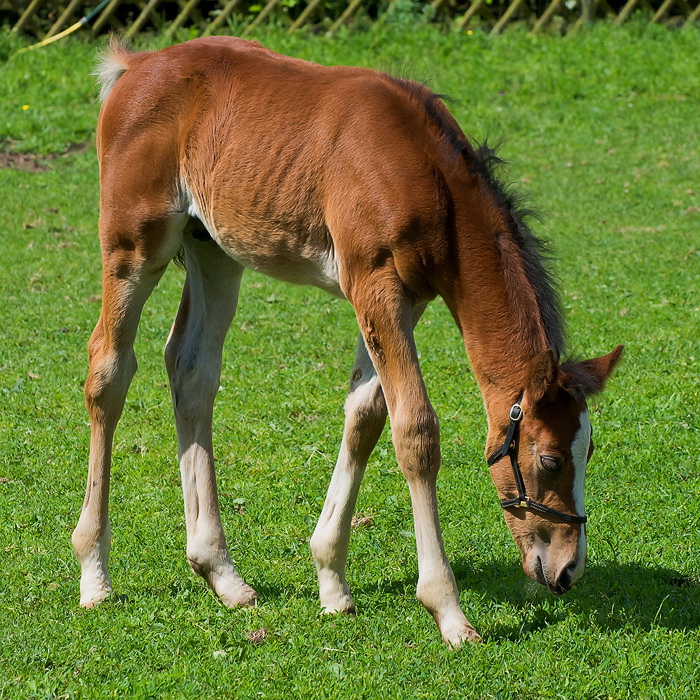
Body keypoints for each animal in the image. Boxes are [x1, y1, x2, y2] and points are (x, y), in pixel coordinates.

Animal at [72, 37, 624, 644]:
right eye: (549, 459)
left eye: (588, 450)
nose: (569, 569)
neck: (427, 176)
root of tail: (138, 64)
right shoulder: (374, 285)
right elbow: (416, 431)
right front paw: (448, 610)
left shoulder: (402, 299)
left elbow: (366, 415)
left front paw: (332, 582)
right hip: (133, 245)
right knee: (109, 370)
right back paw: (94, 573)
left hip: (213, 249)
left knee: (192, 371)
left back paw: (222, 573)